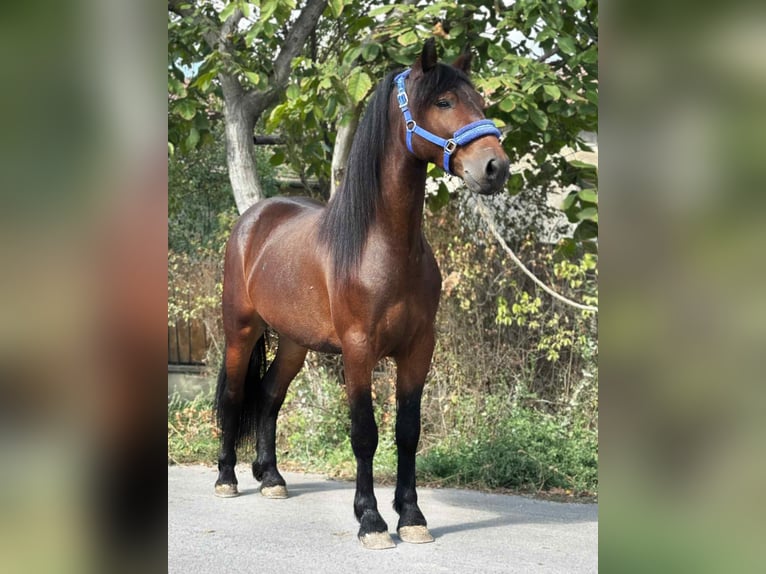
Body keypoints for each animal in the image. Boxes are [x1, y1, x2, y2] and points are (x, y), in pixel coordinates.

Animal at [214, 38, 510, 549]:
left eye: (480, 100)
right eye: (444, 101)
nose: (495, 167)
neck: (384, 247)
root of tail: (254, 218)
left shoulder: (418, 349)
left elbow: (408, 431)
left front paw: (411, 517)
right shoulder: (358, 349)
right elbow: (365, 433)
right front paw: (370, 519)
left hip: (294, 341)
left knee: (269, 395)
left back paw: (271, 478)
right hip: (241, 330)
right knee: (235, 395)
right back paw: (227, 477)